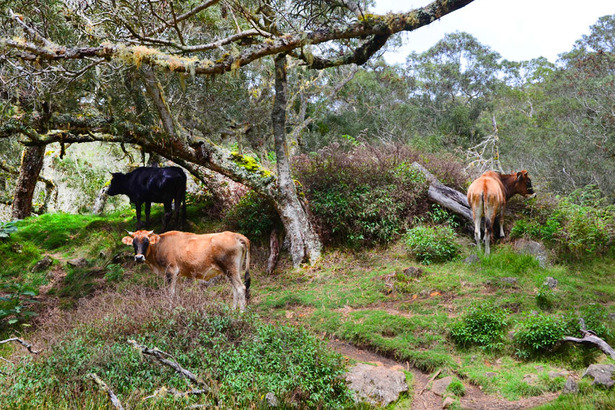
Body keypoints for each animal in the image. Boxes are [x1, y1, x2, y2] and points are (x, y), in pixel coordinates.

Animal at [121, 231, 251, 310]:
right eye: (133, 242)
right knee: (235, 289)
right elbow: (178, 292)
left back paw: (241, 313)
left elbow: (171, 293)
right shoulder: (178, 275)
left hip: (231, 269)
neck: (160, 245)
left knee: (241, 288)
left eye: (146, 241)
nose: (139, 257)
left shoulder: (171, 271)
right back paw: (233, 310)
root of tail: (235, 235)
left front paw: (170, 310)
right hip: (233, 270)